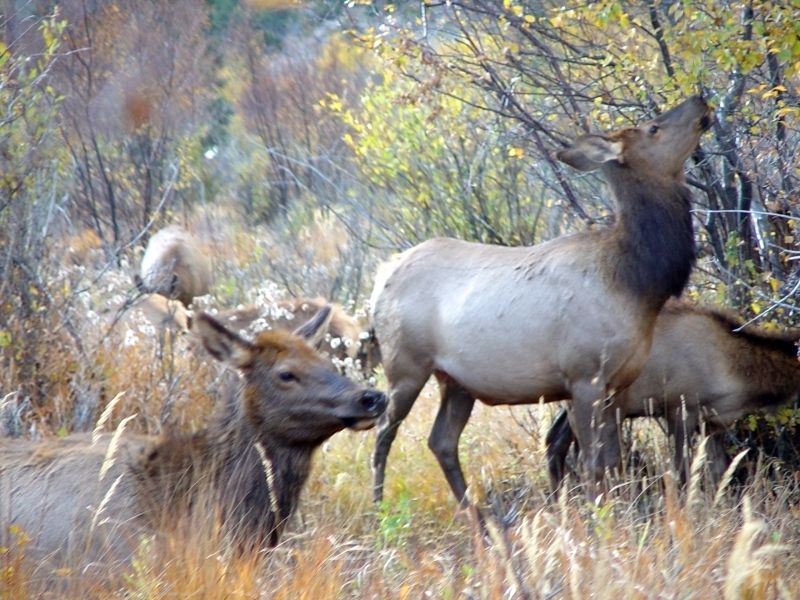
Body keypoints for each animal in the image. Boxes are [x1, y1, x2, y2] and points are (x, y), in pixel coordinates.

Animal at [368, 95, 712, 506]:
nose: (699, 100)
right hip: (405, 364)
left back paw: (478, 513)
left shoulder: (617, 384)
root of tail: (381, 278)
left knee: (441, 441)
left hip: (456, 381)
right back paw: (379, 507)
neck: (637, 283)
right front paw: (598, 514)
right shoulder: (584, 374)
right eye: (653, 128)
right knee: (383, 432)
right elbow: (593, 461)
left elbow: (612, 460)